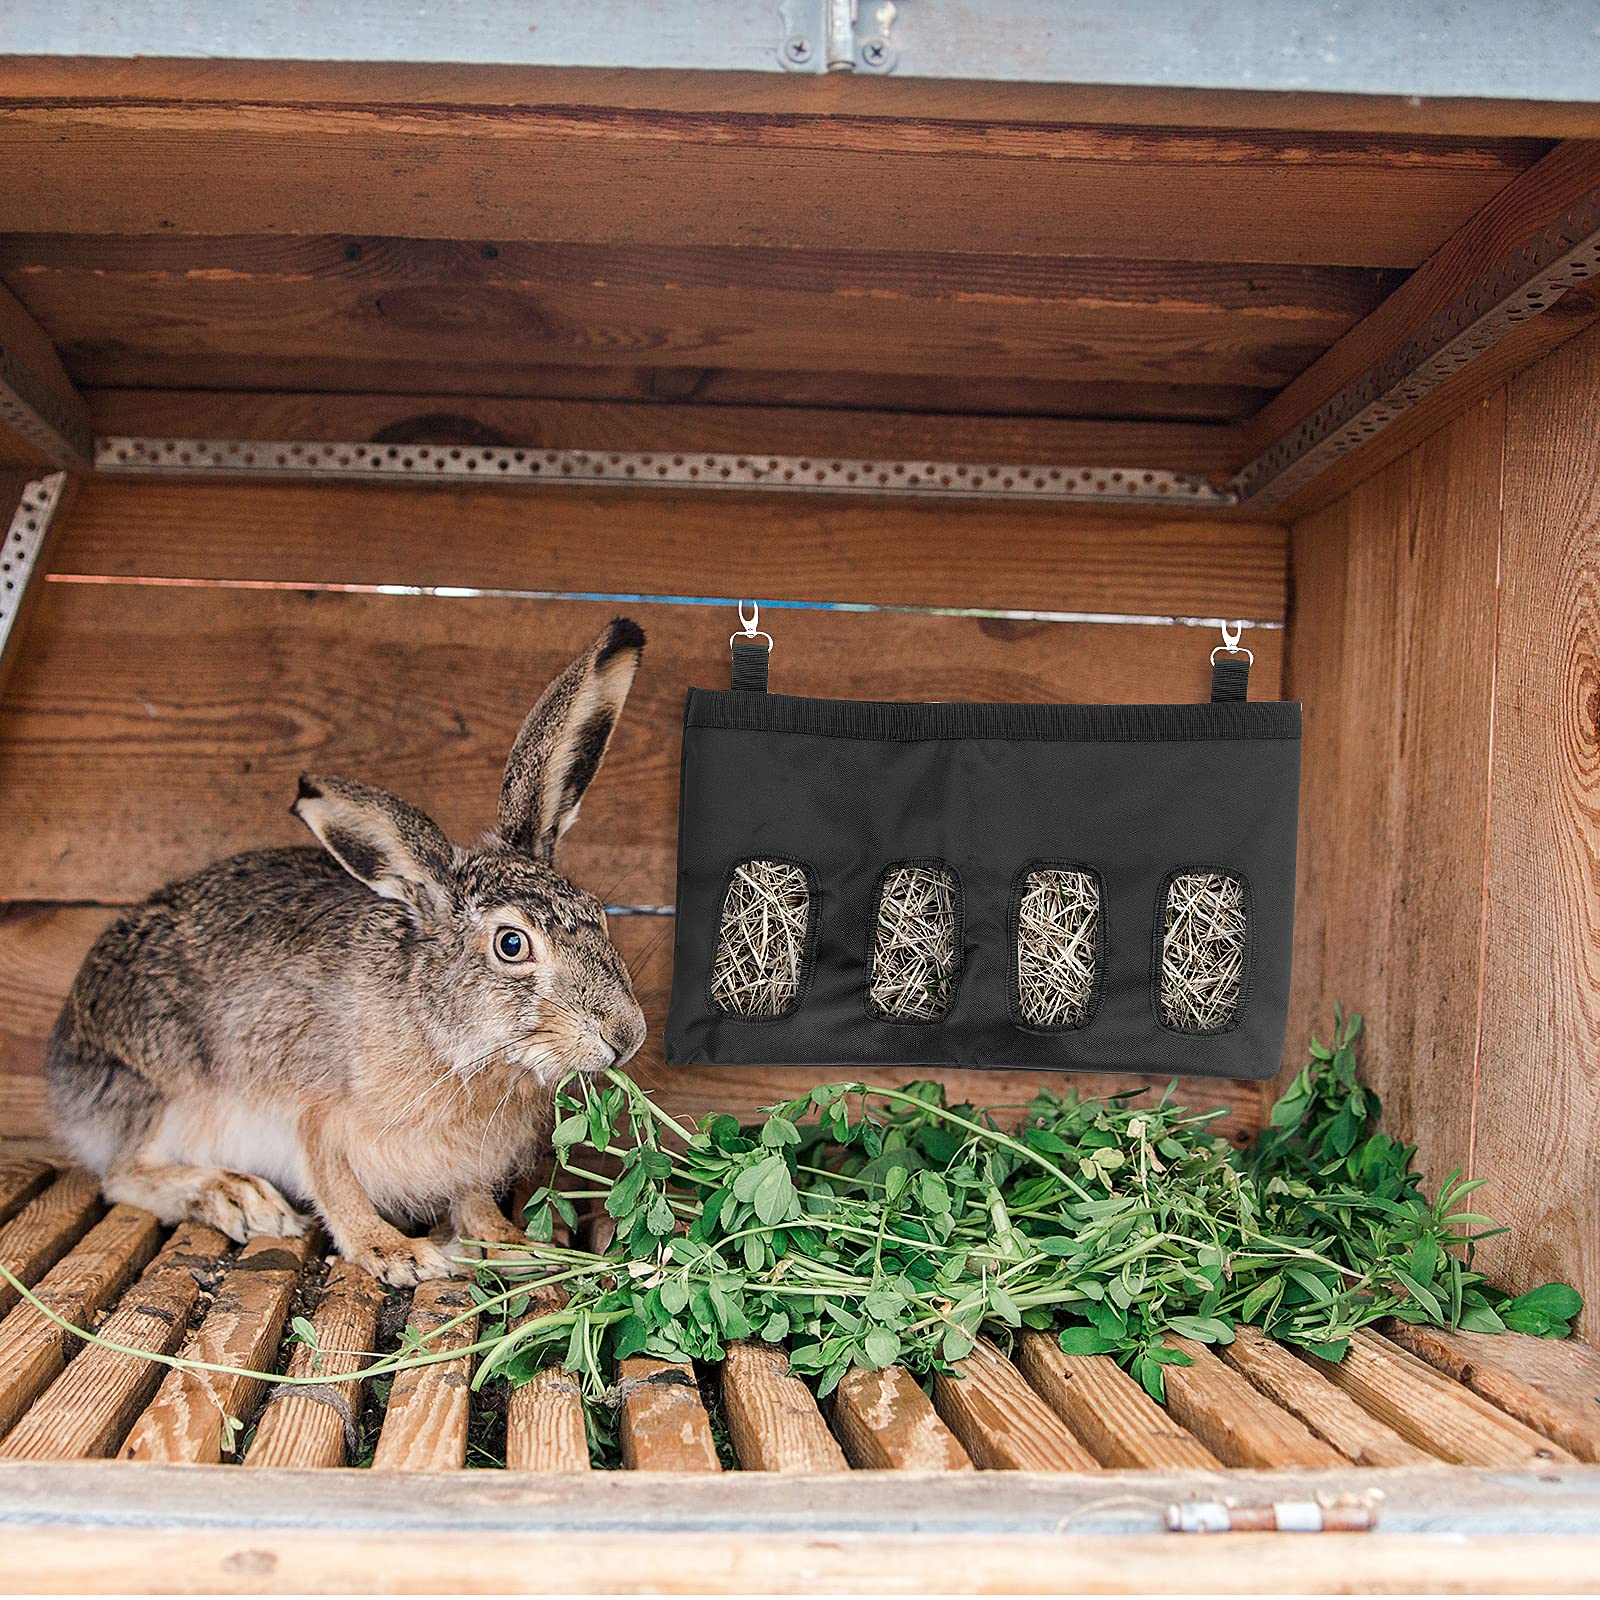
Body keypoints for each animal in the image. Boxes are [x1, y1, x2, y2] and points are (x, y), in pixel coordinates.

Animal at [46, 617, 649, 1285]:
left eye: (598, 913)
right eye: (512, 944)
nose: (626, 1036)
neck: (439, 1028)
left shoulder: (462, 1160)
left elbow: (470, 1200)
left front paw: (511, 1243)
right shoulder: (312, 1110)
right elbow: (334, 1184)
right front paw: (395, 1253)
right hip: (161, 1093)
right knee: (122, 1174)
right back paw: (238, 1198)